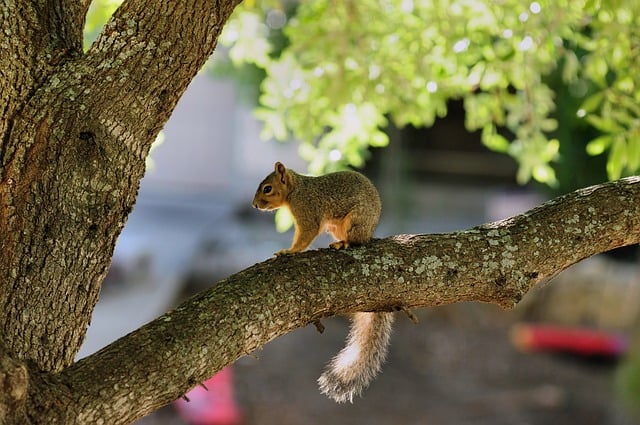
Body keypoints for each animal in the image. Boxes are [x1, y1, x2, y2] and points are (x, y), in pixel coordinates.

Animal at [252, 161, 394, 403]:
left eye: (267, 188)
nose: (254, 205)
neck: (297, 189)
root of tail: (370, 231)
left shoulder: (308, 211)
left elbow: (306, 235)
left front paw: (288, 251)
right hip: (336, 226)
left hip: (354, 220)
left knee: (356, 241)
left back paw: (344, 244)